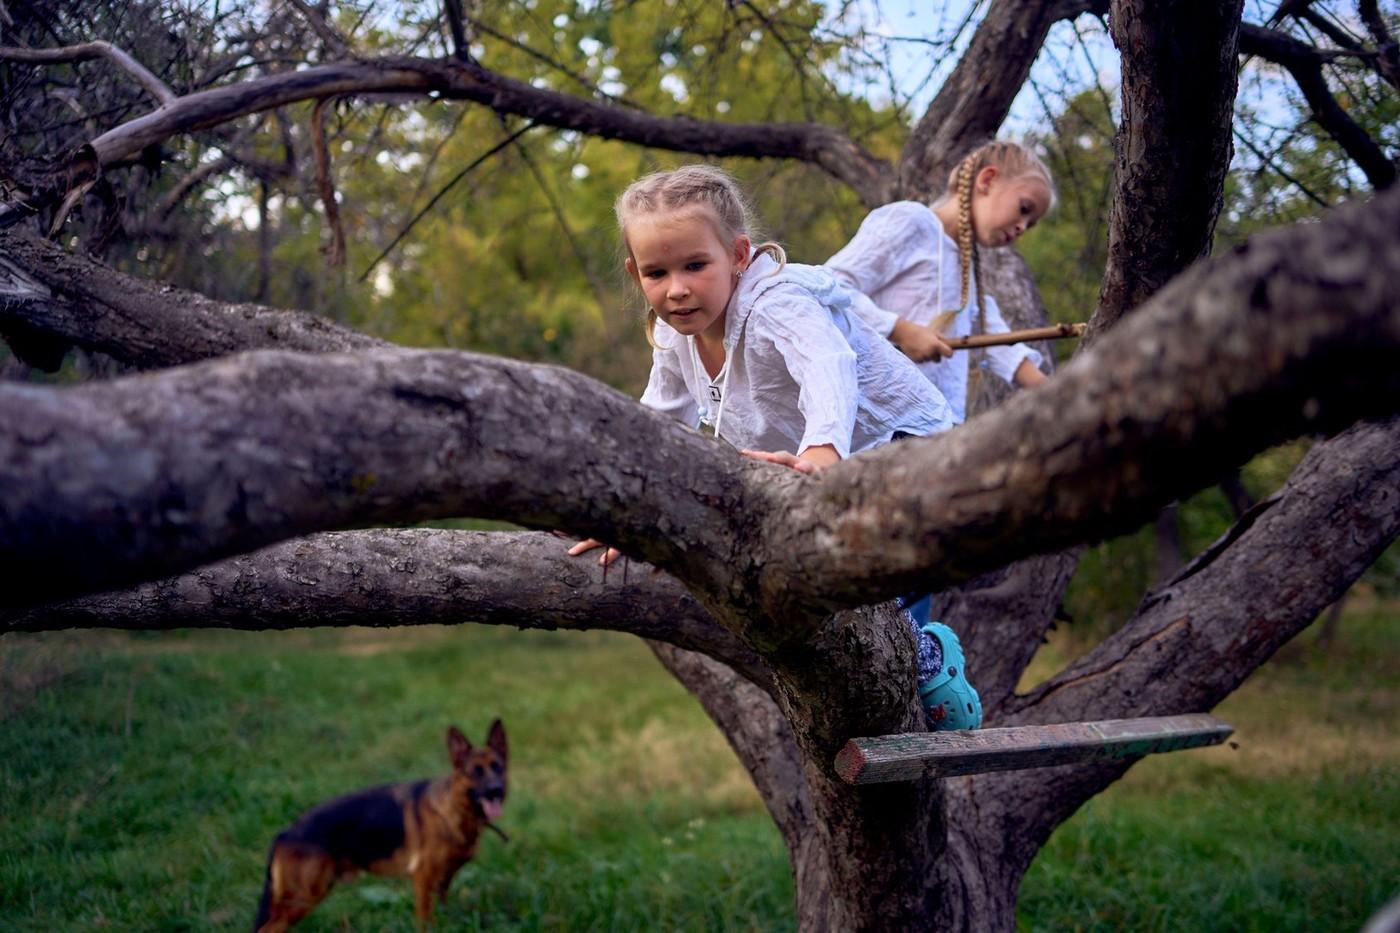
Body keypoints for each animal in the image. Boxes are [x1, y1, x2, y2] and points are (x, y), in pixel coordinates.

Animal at [254, 714, 506, 924]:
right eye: (475, 772)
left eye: (498, 768)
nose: (496, 790)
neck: (455, 808)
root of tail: (285, 833)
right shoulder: (423, 879)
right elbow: (425, 921)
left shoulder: (444, 880)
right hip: (302, 900)